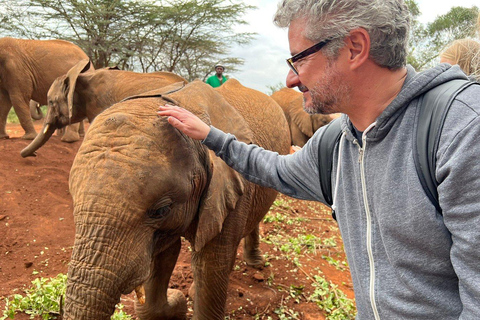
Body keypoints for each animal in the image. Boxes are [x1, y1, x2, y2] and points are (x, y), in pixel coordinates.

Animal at [63, 79, 288, 318]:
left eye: (161, 210)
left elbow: (210, 267)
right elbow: (165, 255)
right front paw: (176, 303)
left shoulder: (231, 190)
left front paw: (179, 299)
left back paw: (255, 264)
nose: (174, 294)